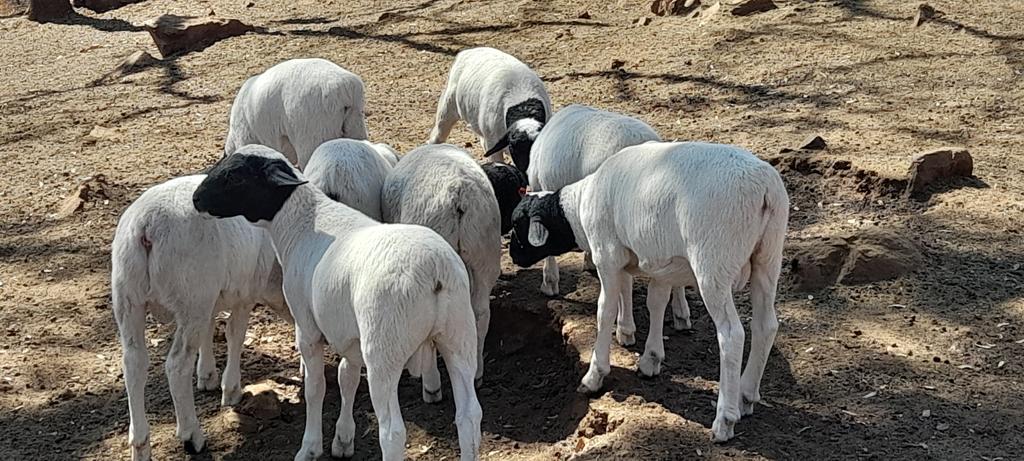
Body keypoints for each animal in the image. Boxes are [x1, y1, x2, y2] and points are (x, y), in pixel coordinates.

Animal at [111, 175, 290, 460]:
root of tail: (146, 226)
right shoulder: (244, 294)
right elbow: (234, 335)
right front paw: (231, 389)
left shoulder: (210, 299)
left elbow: (209, 330)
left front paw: (207, 376)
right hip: (189, 297)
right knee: (176, 365)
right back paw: (191, 436)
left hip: (128, 297)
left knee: (133, 363)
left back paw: (140, 444)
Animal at [193, 145, 482, 461]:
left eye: (235, 176)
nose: (196, 199)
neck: (301, 224)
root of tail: (434, 271)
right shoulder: (349, 336)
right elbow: (347, 379)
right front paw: (343, 439)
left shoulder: (307, 328)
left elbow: (315, 389)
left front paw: (310, 447)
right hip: (459, 335)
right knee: (469, 415)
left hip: (384, 348)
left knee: (392, 432)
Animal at [507, 141, 789, 443]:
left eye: (517, 224)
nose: (512, 256)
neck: (579, 208)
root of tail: (764, 188)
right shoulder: (662, 264)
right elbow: (656, 303)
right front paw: (650, 359)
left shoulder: (607, 257)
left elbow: (604, 312)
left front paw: (594, 376)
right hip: (768, 258)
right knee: (765, 326)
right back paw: (746, 396)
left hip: (713, 264)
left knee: (732, 335)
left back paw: (725, 419)